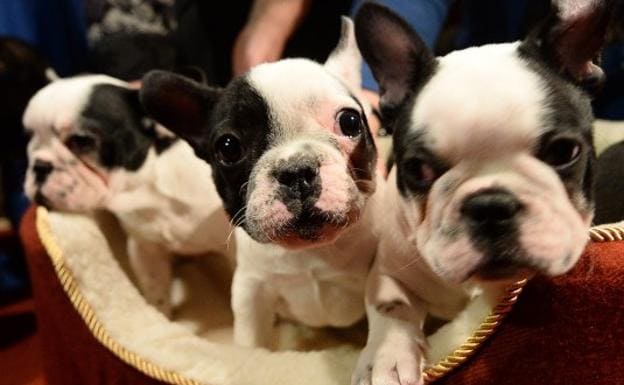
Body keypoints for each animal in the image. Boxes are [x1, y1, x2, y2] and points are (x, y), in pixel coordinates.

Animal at [22, 75, 233, 316]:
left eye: (81, 140)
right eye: (29, 140)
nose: (39, 165)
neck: (150, 189)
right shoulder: (145, 250)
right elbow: (156, 292)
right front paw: (160, 315)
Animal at [141, 18, 382, 348]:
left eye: (350, 121)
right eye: (228, 147)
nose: (296, 172)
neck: (311, 253)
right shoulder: (251, 291)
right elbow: (252, 343)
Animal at [352, 1, 616, 382]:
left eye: (564, 151)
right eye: (417, 169)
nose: (491, 206)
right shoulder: (388, 270)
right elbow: (392, 307)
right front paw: (386, 359)